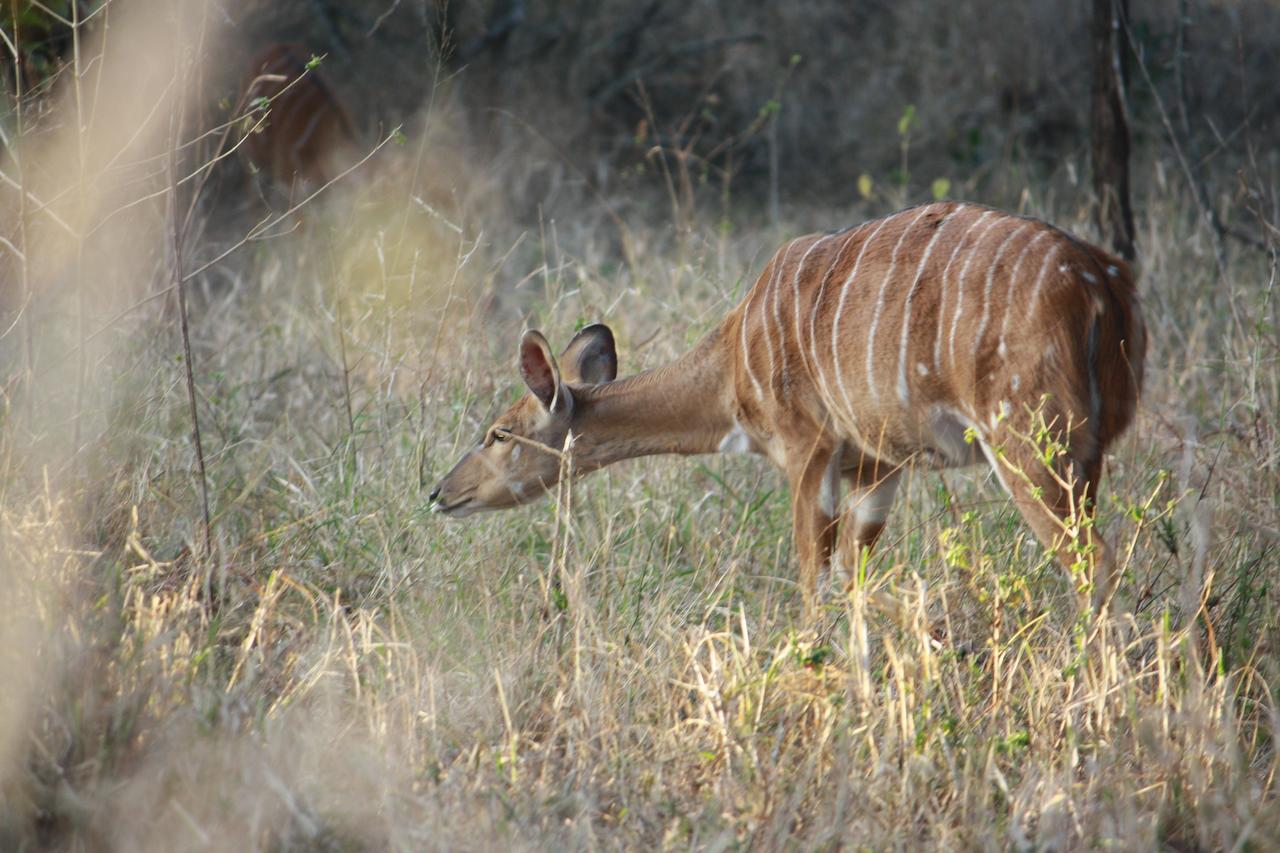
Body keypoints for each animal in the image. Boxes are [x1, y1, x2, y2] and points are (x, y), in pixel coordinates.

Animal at [430, 202, 1152, 614]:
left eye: (498, 432)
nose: (439, 493)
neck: (731, 367)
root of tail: (1101, 284)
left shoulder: (809, 448)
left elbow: (813, 583)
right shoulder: (877, 466)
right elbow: (855, 584)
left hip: (1030, 442)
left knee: (1096, 562)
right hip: (1088, 452)